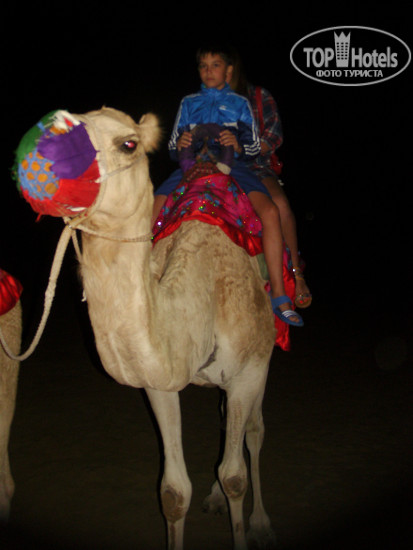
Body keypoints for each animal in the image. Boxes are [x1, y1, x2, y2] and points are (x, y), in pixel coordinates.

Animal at [15, 107, 277, 549]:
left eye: (128, 144)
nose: (37, 161)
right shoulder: (158, 382)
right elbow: (174, 492)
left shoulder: (248, 369)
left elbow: (236, 475)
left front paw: (248, 525)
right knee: (227, 420)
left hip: (266, 351)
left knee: (254, 431)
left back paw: (260, 521)